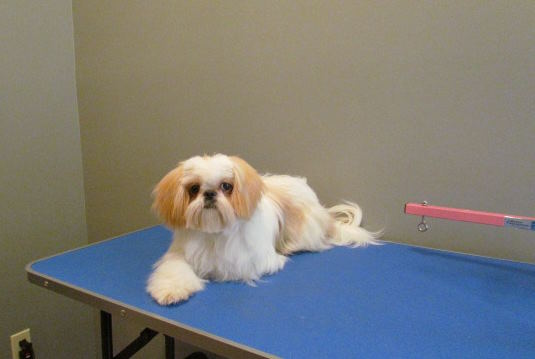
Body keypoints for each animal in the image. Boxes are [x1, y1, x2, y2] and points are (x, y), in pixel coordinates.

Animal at [147, 153, 382, 306]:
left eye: (226, 186)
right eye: (194, 189)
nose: (209, 194)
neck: (215, 232)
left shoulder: (252, 260)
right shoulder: (179, 255)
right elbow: (175, 270)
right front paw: (171, 291)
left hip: (305, 229)